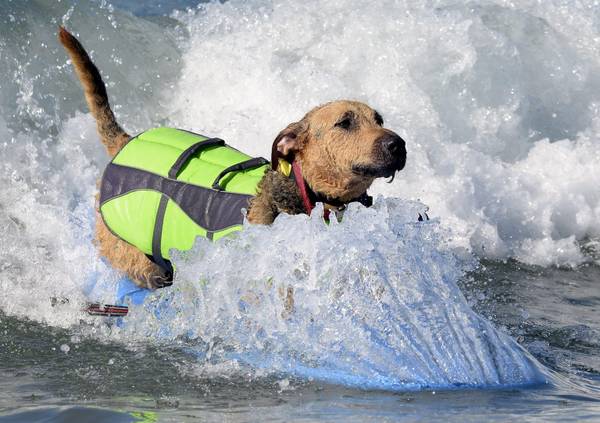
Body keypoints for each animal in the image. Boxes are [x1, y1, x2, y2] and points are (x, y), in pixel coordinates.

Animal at [58, 28, 406, 290]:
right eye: (344, 122)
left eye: (378, 119)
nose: (399, 145)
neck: (306, 190)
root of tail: (126, 141)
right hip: (132, 253)